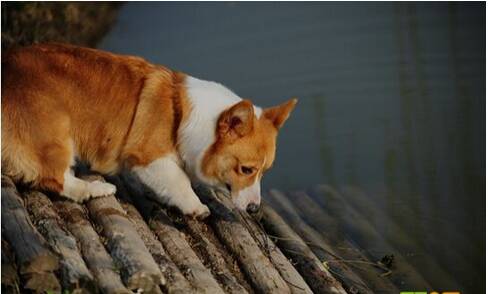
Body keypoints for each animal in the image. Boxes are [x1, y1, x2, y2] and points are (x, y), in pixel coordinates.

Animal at [1, 43, 296, 218]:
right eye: (246, 169)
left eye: (264, 171)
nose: (255, 209)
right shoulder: (147, 157)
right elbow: (180, 180)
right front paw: (195, 207)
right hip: (56, 133)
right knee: (54, 177)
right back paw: (95, 189)